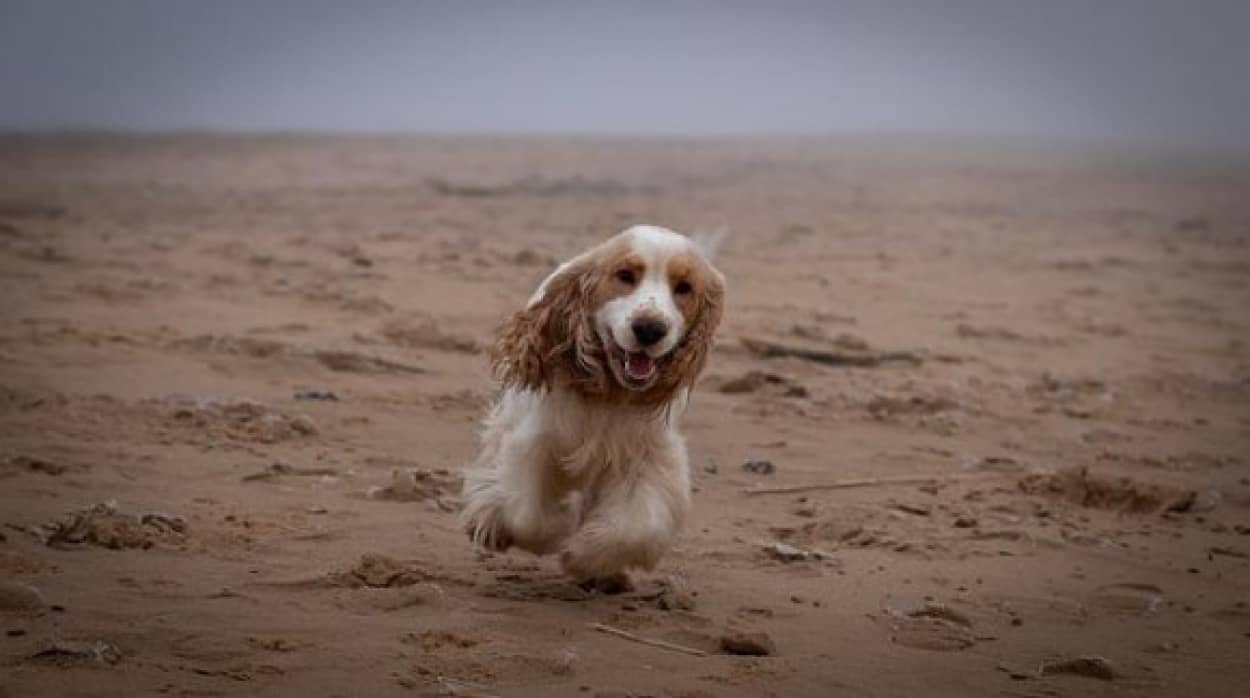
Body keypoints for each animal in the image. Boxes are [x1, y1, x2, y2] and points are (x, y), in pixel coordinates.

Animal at [460, 223, 725, 585]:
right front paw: (558, 531)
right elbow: (526, 514)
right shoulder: (535, 440)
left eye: (684, 288)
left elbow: (635, 529)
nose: (649, 329)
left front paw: (584, 558)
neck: (610, 391)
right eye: (625, 275)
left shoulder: (648, 454)